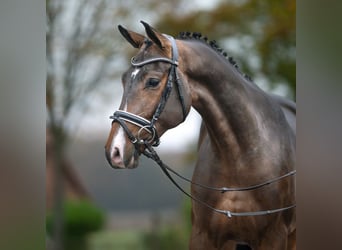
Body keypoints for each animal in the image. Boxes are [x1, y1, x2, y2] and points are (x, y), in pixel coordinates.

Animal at [104, 22, 294, 250]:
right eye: (123, 79)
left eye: (152, 81)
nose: (114, 151)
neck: (241, 156)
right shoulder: (202, 236)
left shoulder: (274, 237)